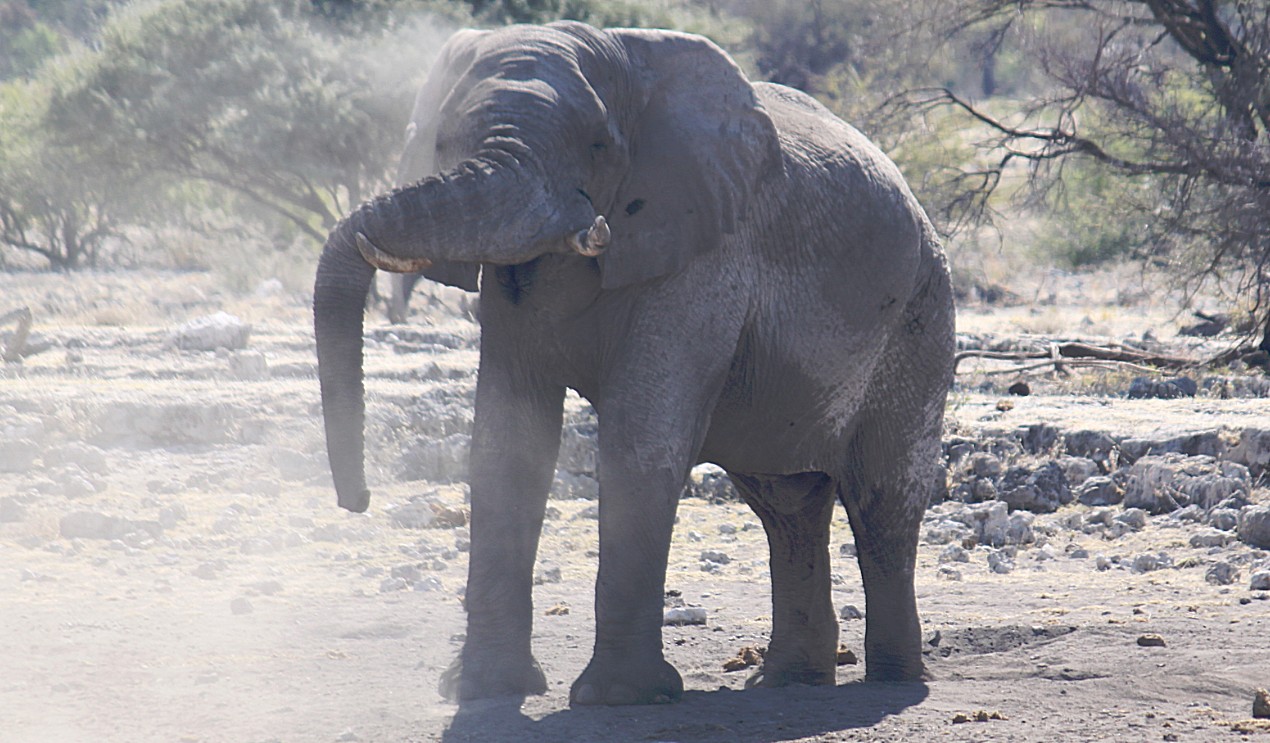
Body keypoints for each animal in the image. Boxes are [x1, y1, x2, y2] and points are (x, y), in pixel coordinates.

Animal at [314, 20, 955, 706]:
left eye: (597, 145)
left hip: (921, 316)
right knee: (787, 504)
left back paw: (891, 681)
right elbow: (507, 446)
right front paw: (481, 690)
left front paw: (619, 698)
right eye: (440, 142)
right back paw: (786, 682)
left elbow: (640, 439)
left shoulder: (707, 253)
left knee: (881, 499)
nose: (357, 501)